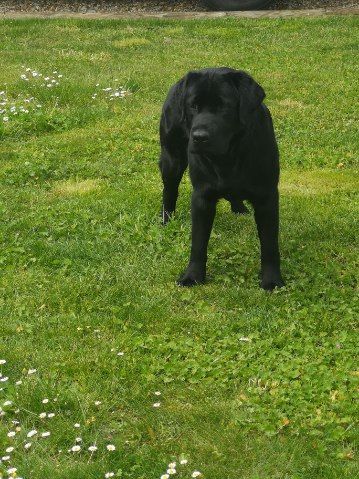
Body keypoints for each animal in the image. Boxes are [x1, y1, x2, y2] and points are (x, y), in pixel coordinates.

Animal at [159, 67, 286, 290]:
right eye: (193, 106)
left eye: (223, 107)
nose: (199, 137)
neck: (228, 156)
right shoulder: (202, 197)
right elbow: (198, 243)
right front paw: (192, 276)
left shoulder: (267, 197)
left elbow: (269, 244)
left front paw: (272, 280)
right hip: (171, 158)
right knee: (169, 191)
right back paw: (167, 219)